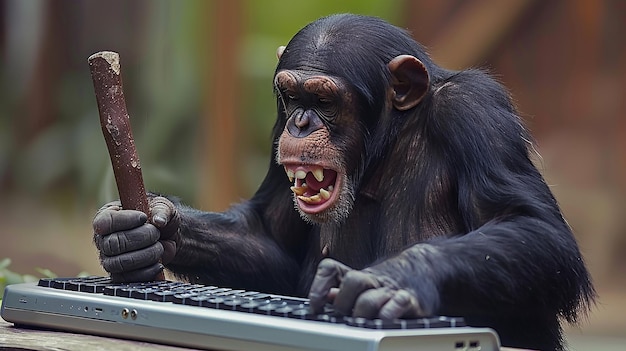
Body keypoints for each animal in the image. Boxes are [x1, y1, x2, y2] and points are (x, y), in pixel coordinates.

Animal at [92, 14, 596, 351]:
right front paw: (140, 231)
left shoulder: (477, 112)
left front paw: (392, 278)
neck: (389, 144)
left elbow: (530, 226)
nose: (299, 123)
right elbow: (270, 239)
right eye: (290, 95)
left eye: (324, 100)